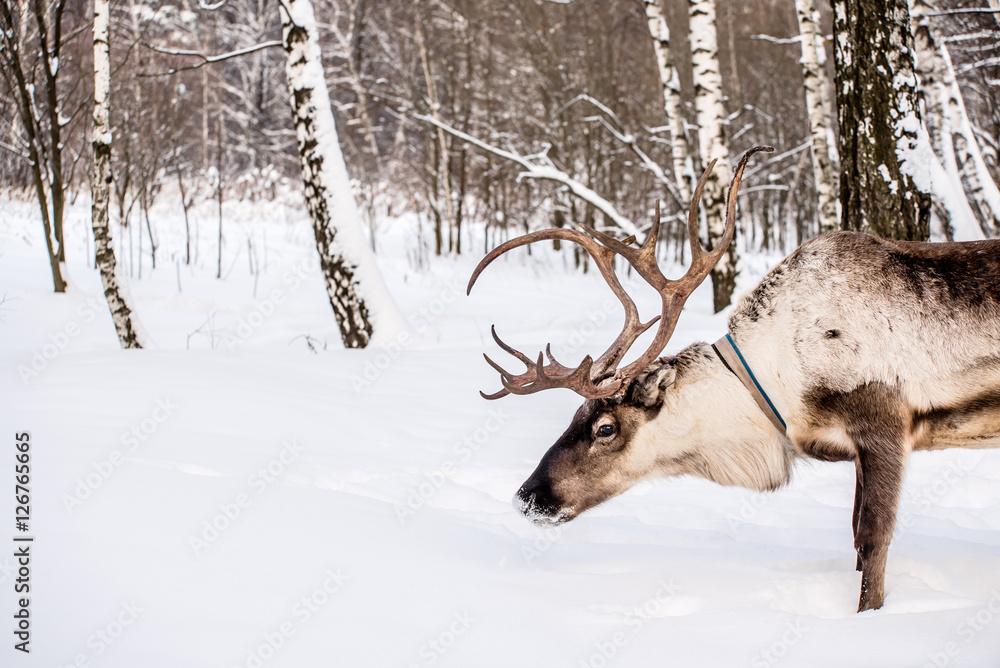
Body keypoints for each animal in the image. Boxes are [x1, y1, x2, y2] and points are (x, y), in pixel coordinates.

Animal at [466, 146, 1000, 613]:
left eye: (605, 428)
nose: (527, 497)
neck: (775, 385)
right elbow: (854, 537)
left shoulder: (884, 424)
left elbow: (872, 539)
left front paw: (868, 618)